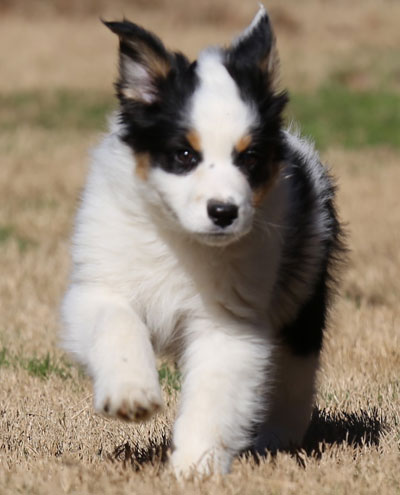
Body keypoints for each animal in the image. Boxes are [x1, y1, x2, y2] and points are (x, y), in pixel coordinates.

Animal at [62, 4, 344, 476]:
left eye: (249, 158)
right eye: (184, 155)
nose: (224, 212)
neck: (179, 239)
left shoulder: (230, 322)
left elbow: (214, 396)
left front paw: (194, 466)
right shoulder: (100, 285)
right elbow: (117, 324)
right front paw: (132, 396)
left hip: (302, 295)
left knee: (294, 376)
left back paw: (275, 439)